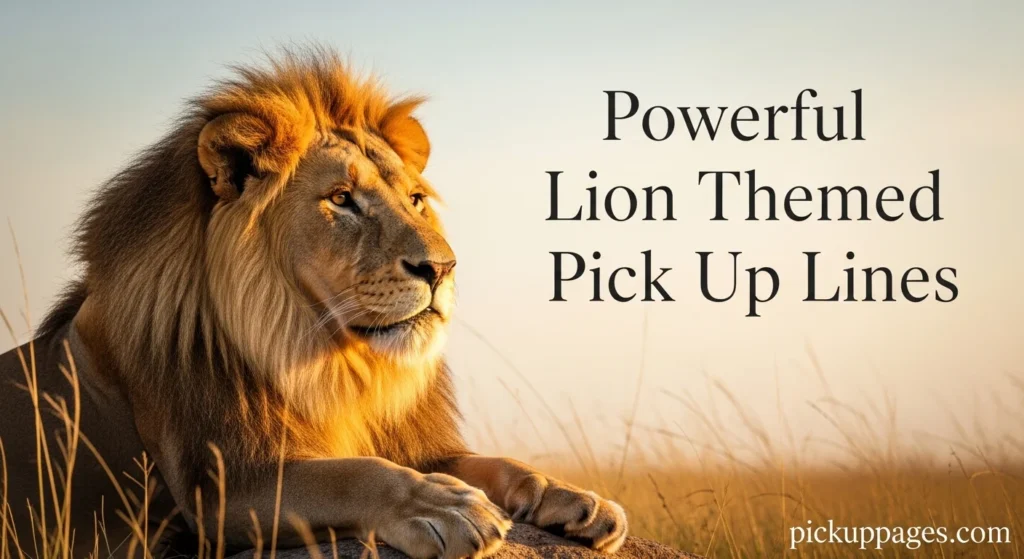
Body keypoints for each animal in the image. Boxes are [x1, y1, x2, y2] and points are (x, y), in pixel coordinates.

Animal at [0, 48, 627, 559]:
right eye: (342, 199)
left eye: (416, 199)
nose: (442, 268)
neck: (334, 367)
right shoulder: (221, 490)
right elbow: (353, 474)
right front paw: (444, 507)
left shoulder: (406, 439)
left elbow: (491, 461)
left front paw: (572, 496)